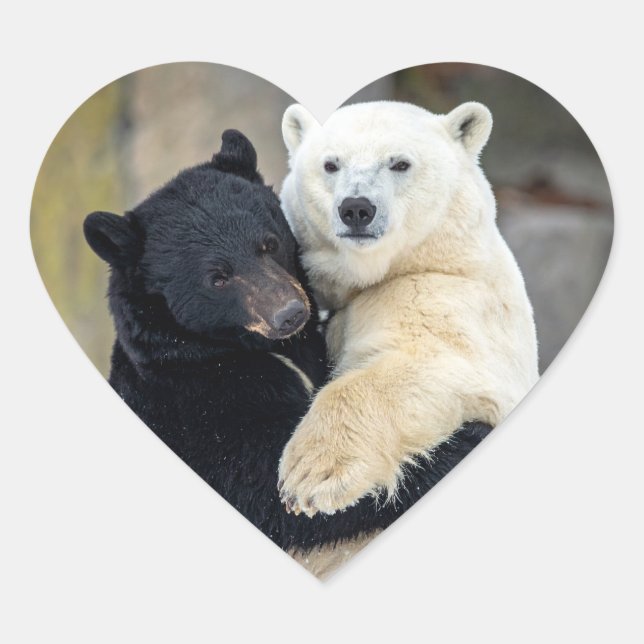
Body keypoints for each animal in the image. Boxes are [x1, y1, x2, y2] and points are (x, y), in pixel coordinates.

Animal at [83, 129, 492, 578]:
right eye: (217, 278)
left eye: (269, 243)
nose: (289, 313)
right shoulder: (199, 406)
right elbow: (268, 485)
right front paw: (464, 439)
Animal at [277, 101, 539, 518]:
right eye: (331, 164)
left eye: (399, 163)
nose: (356, 209)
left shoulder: (446, 301)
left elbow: (430, 366)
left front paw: (310, 478)